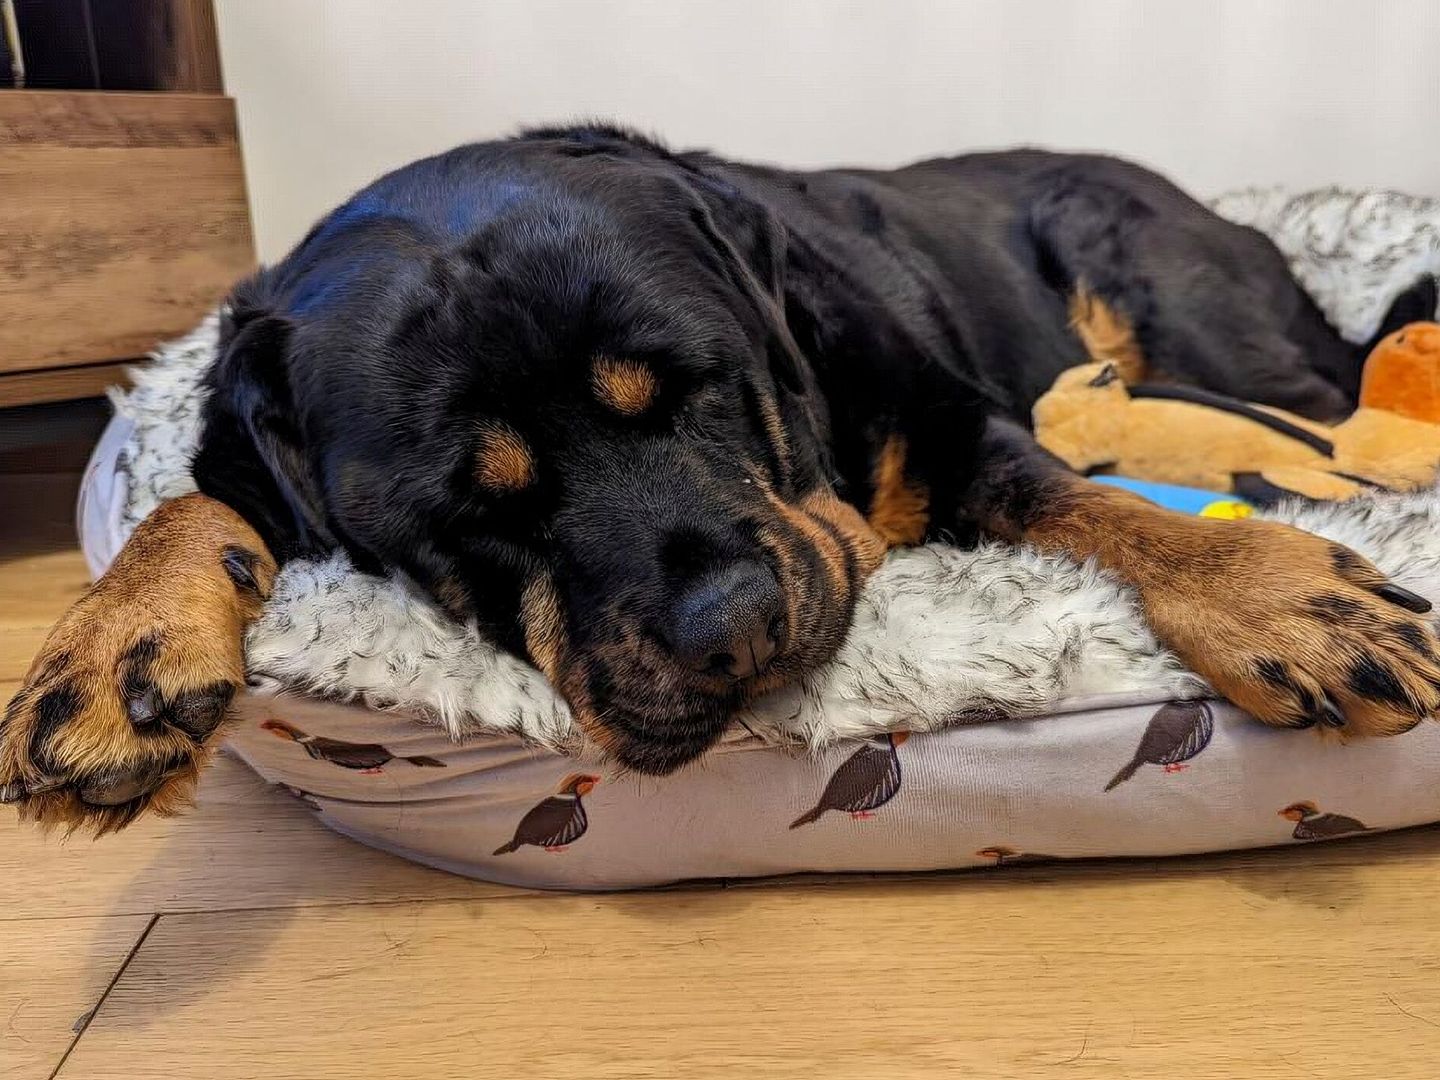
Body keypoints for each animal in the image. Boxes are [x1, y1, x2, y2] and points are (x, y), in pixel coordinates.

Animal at [8, 128, 1440, 835]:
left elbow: (1085, 504)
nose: (729, 627)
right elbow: (197, 496)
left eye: (692, 382)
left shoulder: (949, 417)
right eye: (469, 510)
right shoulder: (242, 425)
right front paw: (117, 647)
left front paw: (1269, 590)